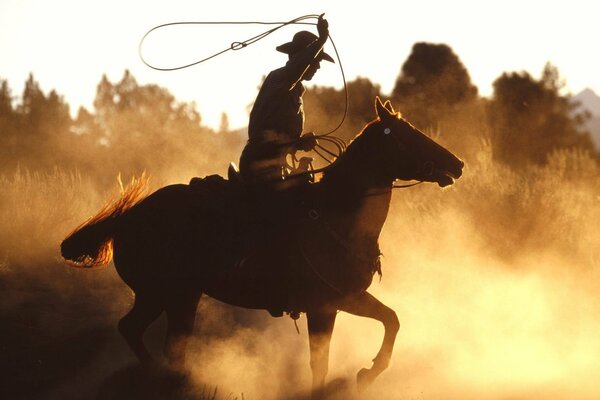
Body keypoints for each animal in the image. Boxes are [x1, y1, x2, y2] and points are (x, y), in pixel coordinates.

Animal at [61, 98, 464, 396]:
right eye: (408, 135)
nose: (457, 164)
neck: (337, 219)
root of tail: (128, 217)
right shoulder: (323, 306)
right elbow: (321, 360)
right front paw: (358, 376)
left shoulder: (346, 299)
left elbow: (391, 319)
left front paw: (368, 372)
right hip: (167, 294)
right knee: (146, 336)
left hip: (174, 296)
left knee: (155, 338)